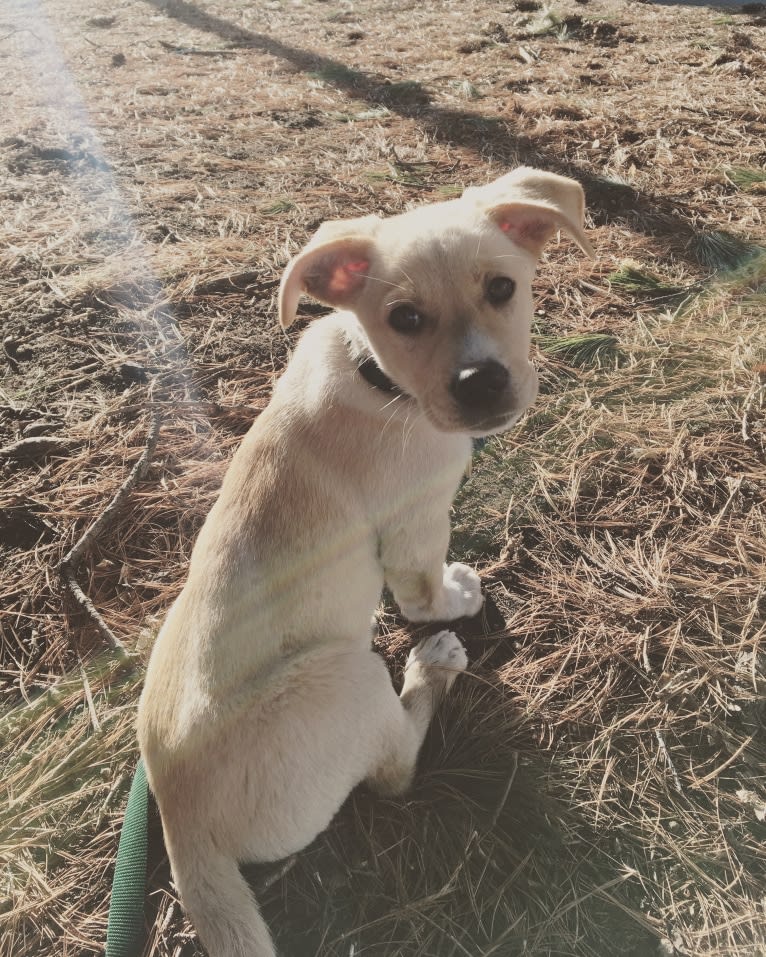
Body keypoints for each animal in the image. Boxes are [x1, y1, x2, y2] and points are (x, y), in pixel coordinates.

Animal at [138, 168, 592, 952]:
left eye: (502, 288)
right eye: (404, 318)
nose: (480, 382)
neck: (375, 375)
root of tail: (180, 823)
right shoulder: (417, 522)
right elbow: (423, 591)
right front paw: (456, 599)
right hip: (344, 677)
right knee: (396, 767)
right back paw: (432, 667)